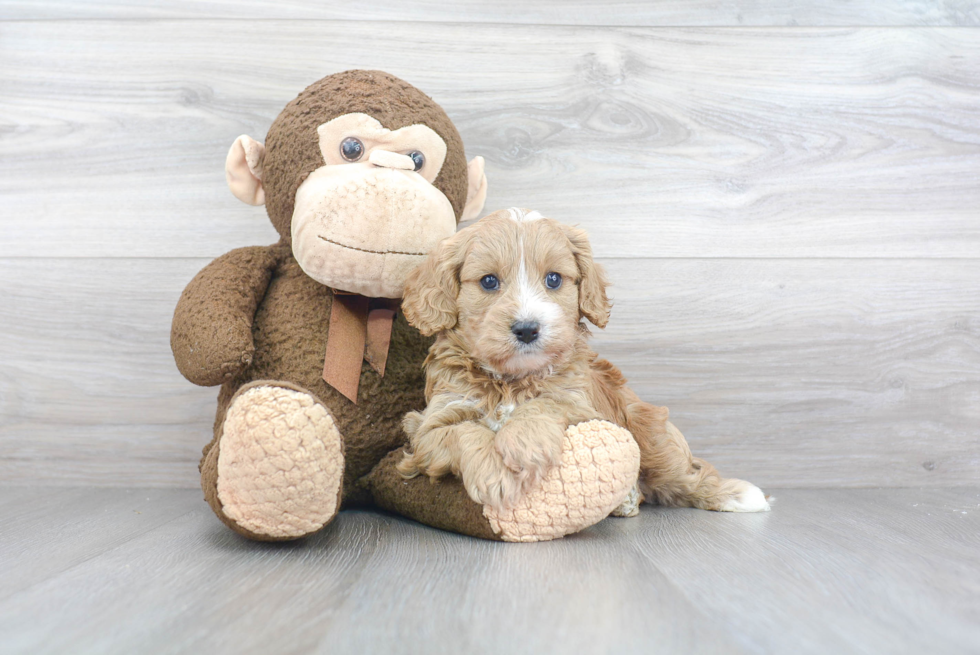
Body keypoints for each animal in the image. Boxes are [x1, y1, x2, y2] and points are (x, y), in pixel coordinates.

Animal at [394, 208, 768, 516]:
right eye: (488, 281)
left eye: (554, 279)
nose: (527, 329)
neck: (512, 381)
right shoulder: (428, 427)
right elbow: (463, 431)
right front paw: (495, 473)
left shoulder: (585, 409)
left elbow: (547, 403)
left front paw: (525, 443)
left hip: (650, 431)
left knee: (685, 476)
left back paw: (736, 495)